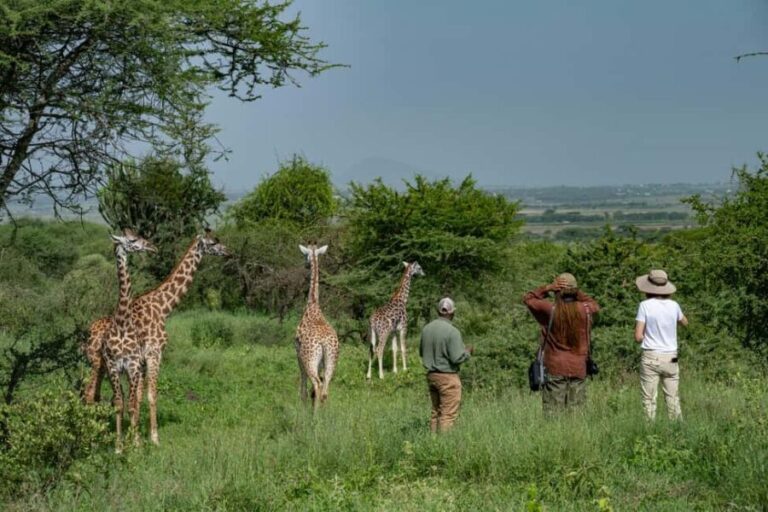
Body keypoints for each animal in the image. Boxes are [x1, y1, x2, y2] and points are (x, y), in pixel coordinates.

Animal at [83, 229, 156, 405]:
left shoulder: (132, 366)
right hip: (97, 363)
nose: (152, 247)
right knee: (89, 392)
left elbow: (130, 401)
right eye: (132, 240)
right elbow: (120, 401)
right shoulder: (115, 366)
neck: (122, 322)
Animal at [103, 229, 228, 449]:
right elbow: (151, 395)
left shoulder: (140, 362)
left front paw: (138, 436)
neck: (163, 307)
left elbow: (139, 398)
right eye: (213, 242)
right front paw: (153, 438)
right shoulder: (154, 353)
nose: (228, 251)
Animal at [295, 244, 339, 410]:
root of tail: (324, 342)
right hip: (331, 359)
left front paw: (303, 409)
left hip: (310, 359)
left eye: (304, 255)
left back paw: (314, 416)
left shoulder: (298, 355)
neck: (313, 303)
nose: (306, 265)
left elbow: (304, 387)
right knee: (325, 387)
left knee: (317, 384)